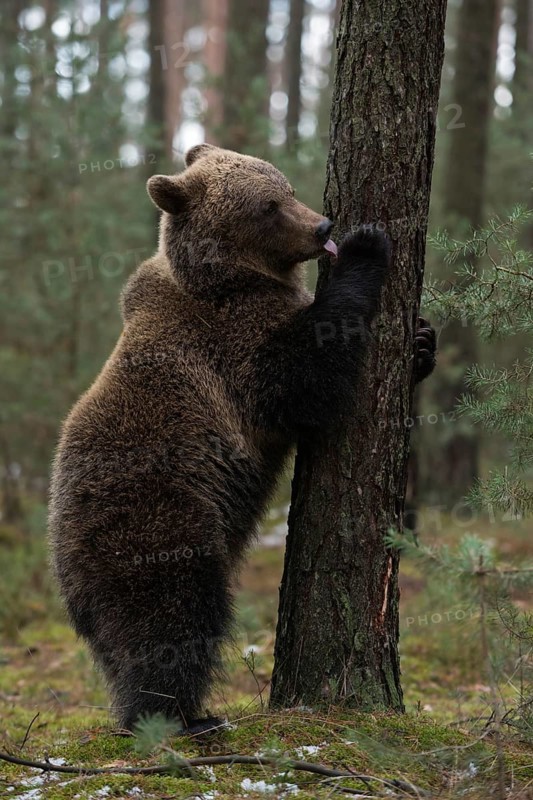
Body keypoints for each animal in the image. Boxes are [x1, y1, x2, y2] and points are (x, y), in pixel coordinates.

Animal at [48, 144, 436, 734]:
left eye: (287, 187)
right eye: (267, 207)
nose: (324, 225)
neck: (231, 279)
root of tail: (62, 557)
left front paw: (422, 343)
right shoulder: (232, 345)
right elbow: (300, 379)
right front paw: (366, 246)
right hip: (156, 519)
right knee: (171, 618)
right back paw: (176, 717)